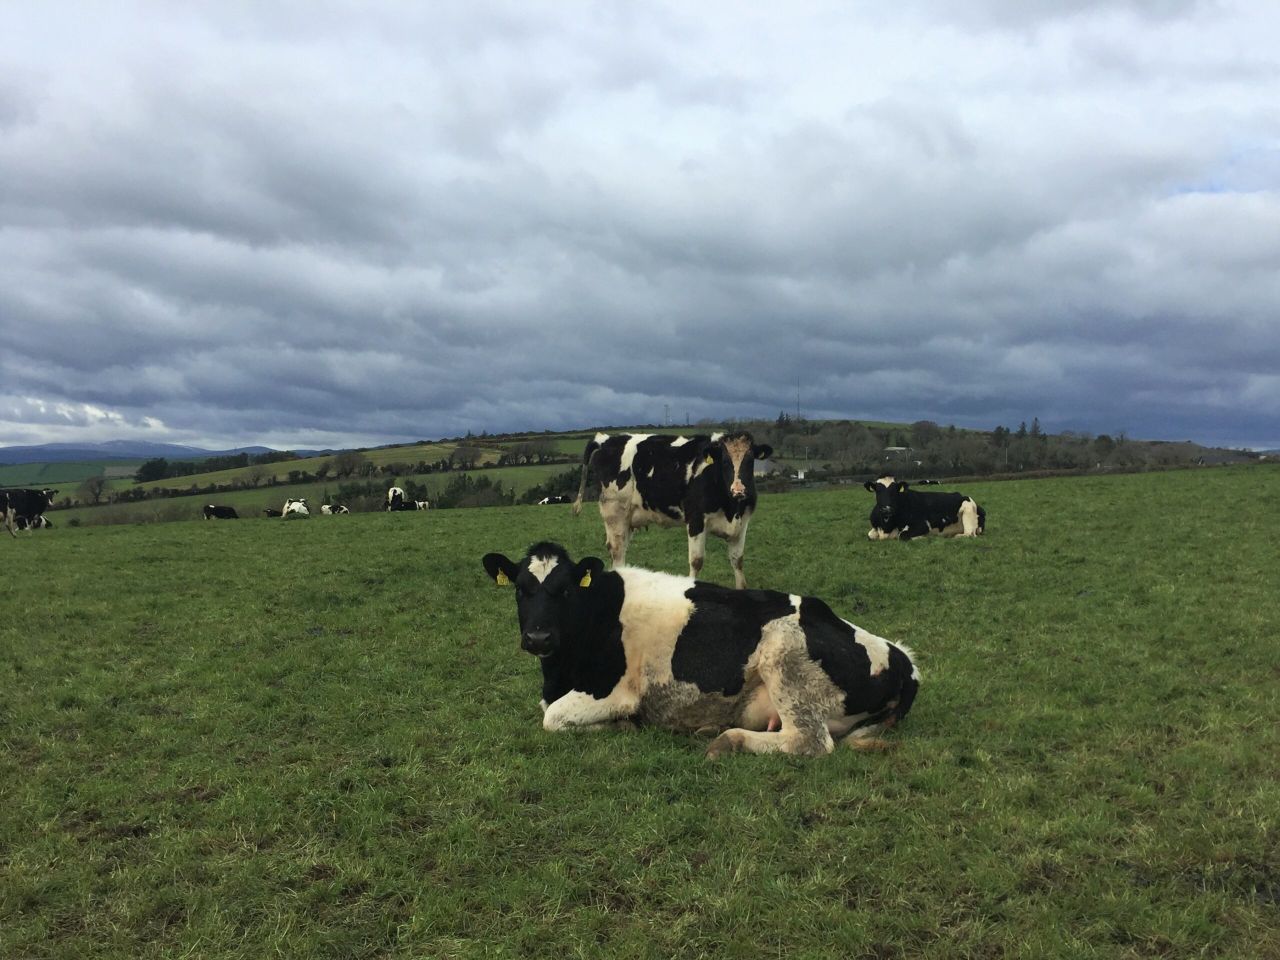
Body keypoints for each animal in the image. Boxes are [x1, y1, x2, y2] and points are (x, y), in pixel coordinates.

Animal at [482, 541, 919, 758]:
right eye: (521, 589)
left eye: (566, 590)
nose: (538, 638)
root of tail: (902, 658)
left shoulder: (613, 692)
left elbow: (553, 718)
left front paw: (624, 724)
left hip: (785, 657)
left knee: (810, 742)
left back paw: (728, 740)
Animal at [572, 431, 773, 589]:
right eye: (724, 461)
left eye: (750, 460)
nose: (738, 490)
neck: (731, 508)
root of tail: (606, 439)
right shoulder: (695, 520)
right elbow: (696, 561)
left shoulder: (742, 524)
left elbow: (738, 561)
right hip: (615, 512)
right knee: (617, 550)